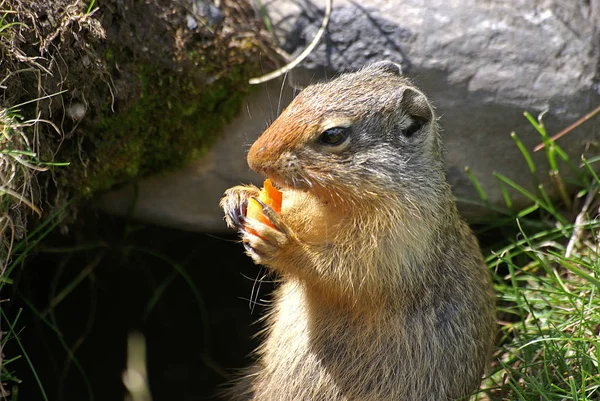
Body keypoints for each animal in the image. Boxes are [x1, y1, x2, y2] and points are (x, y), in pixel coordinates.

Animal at [218, 61, 494, 398]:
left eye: (333, 134)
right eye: (304, 94)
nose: (254, 158)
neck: (335, 203)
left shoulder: (395, 243)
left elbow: (341, 275)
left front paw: (279, 242)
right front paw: (240, 196)